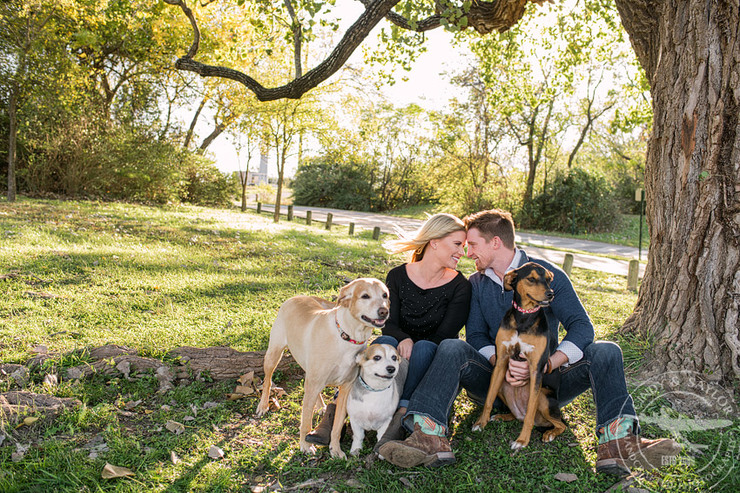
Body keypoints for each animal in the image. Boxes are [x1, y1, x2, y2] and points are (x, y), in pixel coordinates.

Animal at [256, 278, 390, 456]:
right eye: (365, 296)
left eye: (385, 295)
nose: (384, 311)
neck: (348, 337)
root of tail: (296, 296)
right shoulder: (313, 383)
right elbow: (306, 420)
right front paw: (305, 445)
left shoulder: (345, 388)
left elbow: (337, 426)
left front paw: (335, 449)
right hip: (274, 354)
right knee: (268, 380)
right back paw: (263, 405)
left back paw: (320, 406)